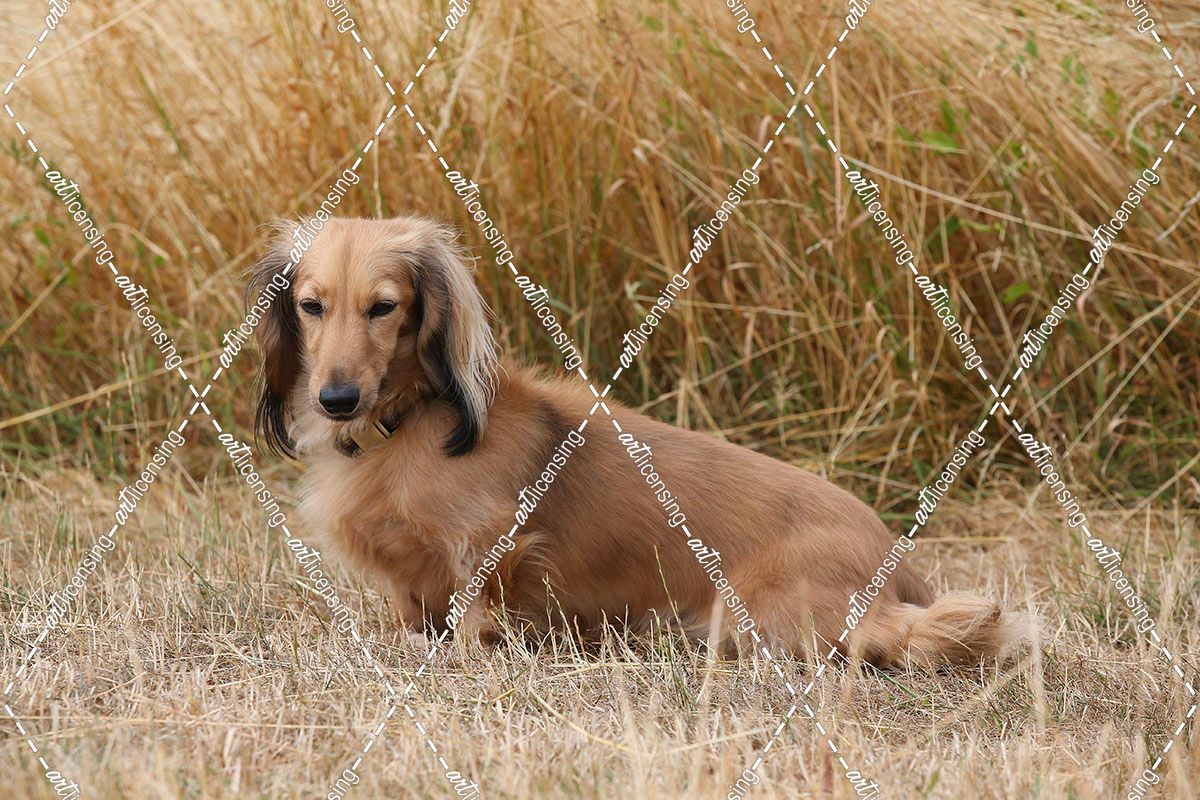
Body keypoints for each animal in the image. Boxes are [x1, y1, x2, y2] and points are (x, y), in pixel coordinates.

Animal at [248, 215, 1025, 666]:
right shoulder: (405, 578)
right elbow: (414, 610)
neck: (405, 423)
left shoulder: (490, 543)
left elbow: (475, 615)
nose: (336, 399)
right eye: (311, 306)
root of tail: (898, 567)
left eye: (384, 307)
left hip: (767, 614)